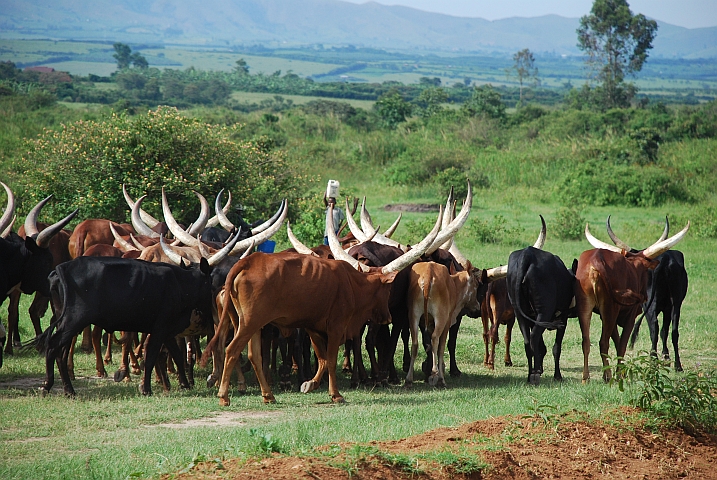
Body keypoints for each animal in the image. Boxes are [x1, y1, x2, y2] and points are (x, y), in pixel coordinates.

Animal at [36, 256, 214, 396]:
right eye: (211, 283)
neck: (180, 282)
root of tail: (62, 268)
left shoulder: (168, 331)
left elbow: (177, 356)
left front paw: (185, 384)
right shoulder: (159, 329)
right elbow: (151, 357)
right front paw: (146, 389)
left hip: (67, 322)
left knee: (61, 353)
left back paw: (68, 390)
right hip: (74, 320)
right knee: (53, 346)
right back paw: (48, 386)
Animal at [504, 248, 576, 386]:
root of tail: (528, 253)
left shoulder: (533, 319)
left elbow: (541, 346)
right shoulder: (563, 319)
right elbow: (556, 348)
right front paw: (557, 376)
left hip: (520, 313)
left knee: (528, 341)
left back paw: (530, 374)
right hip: (544, 312)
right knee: (534, 336)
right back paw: (535, 374)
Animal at [572, 221, 688, 382]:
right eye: (646, 271)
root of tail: (596, 261)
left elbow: (616, 340)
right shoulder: (631, 316)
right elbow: (622, 343)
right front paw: (619, 374)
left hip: (585, 307)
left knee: (586, 341)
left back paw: (586, 378)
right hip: (615, 309)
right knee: (605, 342)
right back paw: (610, 376)